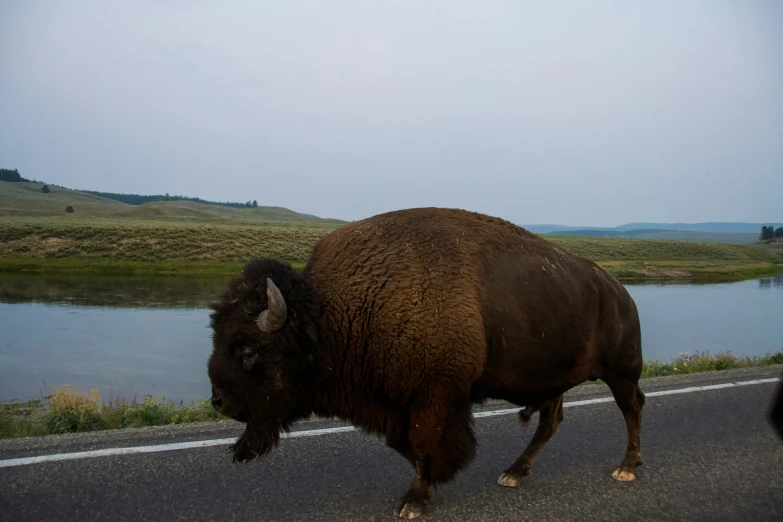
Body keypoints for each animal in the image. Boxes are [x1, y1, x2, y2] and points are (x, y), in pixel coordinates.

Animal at [207, 207, 644, 516]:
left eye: (248, 350)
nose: (219, 400)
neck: (331, 316)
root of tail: (619, 291)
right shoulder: (397, 404)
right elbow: (409, 445)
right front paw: (433, 481)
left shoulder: (432, 398)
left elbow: (421, 443)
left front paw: (413, 501)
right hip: (553, 378)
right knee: (550, 421)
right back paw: (514, 473)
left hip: (621, 371)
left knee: (631, 407)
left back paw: (627, 467)